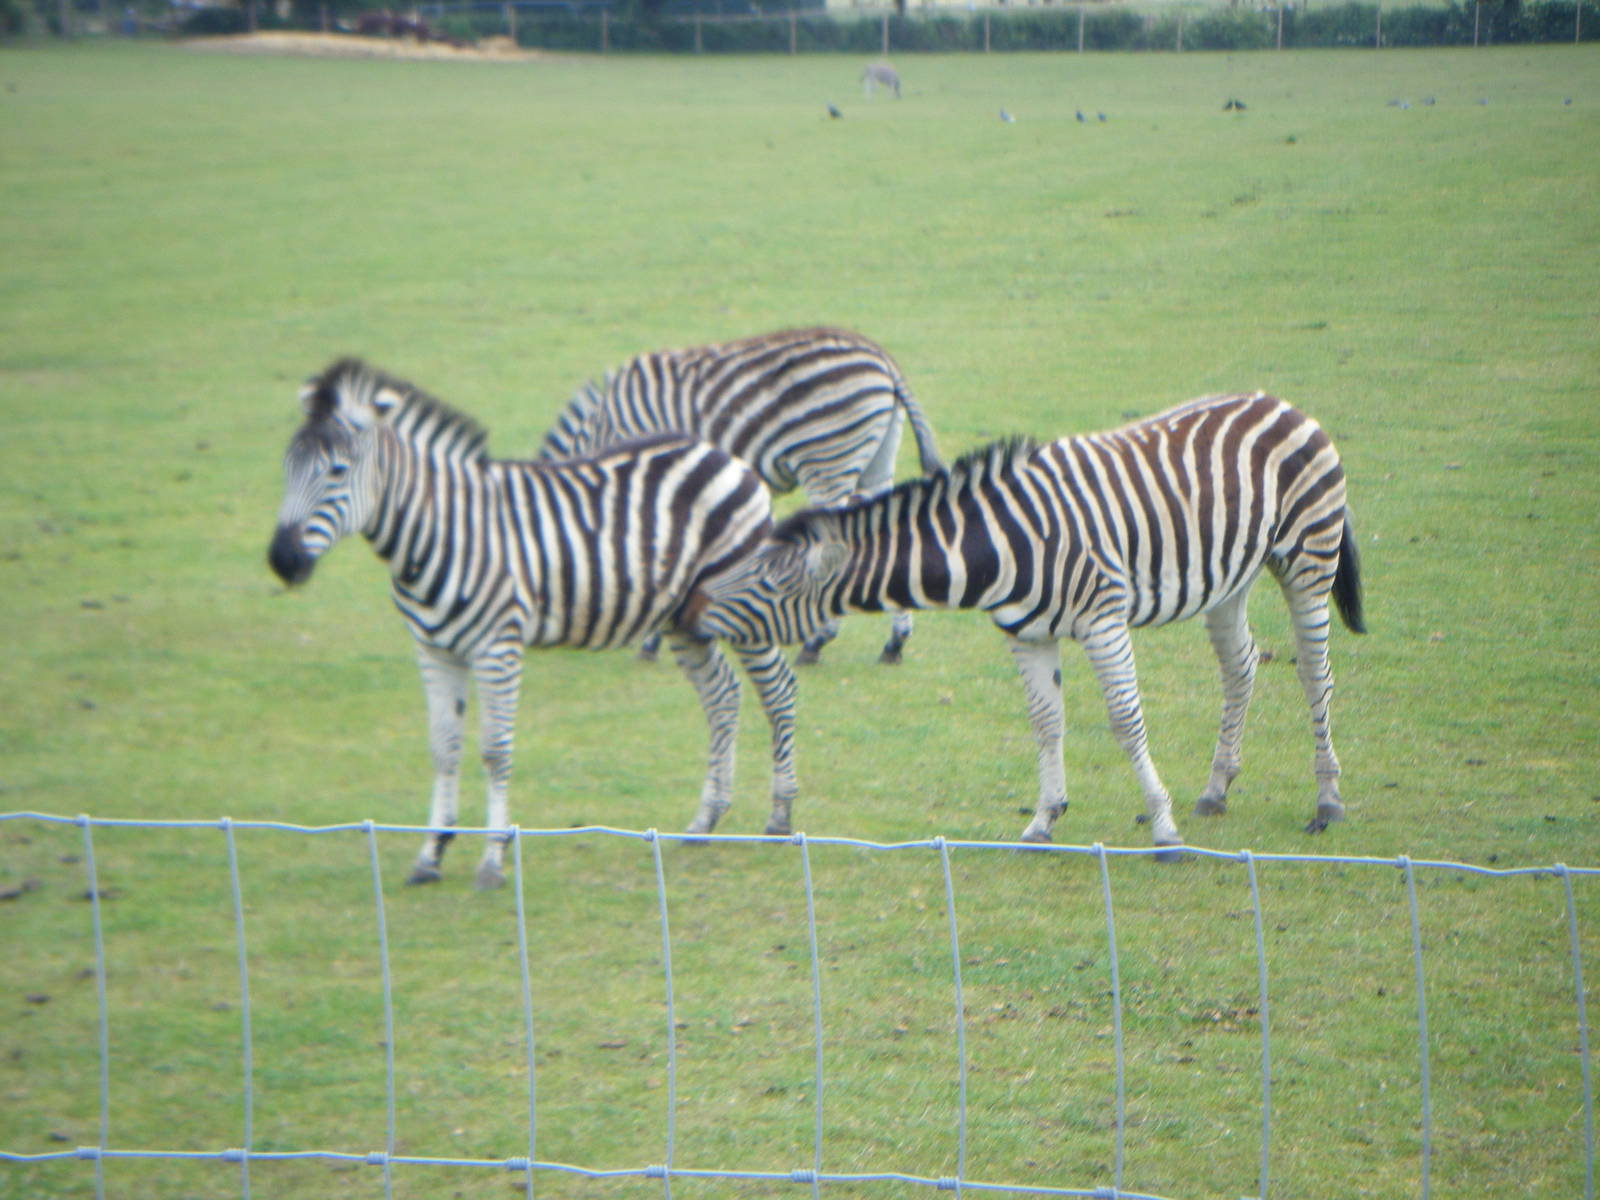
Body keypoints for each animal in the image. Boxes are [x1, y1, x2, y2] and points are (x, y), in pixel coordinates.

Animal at [268, 358, 802, 888]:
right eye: (286, 469)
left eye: (337, 471)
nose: (282, 561)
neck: (442, 531)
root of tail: (723, 455)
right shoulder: (434, 647)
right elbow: (444, 747)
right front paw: (431, 852)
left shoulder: (497, 645)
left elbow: (495, 750)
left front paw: (493, 860)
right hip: (685, 617)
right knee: (723, 696)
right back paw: (705, 821)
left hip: (743, 605)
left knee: (778, 690)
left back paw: (779, 821)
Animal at [540, 326, 944, 666]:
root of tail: (882, 358)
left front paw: (654, 638)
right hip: (876, 465)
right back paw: (894, 643)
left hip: (828, 459)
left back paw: (817, 643)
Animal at [688, 391, 1366, 852]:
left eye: (765, 582)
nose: (689, 612)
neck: (998, 543)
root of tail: (1280, 403)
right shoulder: (1026, 634)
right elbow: (1046, 721)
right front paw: (1044, 819)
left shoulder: (1103, 616)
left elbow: (1125, 720)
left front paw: (1163, 826)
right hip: (1230, 578)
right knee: (1240, 667)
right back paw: (1216, 788)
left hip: (1307, 557)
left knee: (1315, 672)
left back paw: (1328, 801)